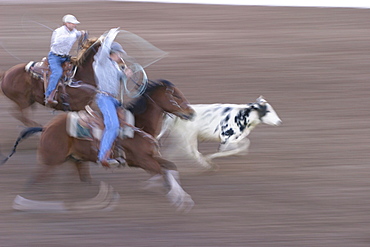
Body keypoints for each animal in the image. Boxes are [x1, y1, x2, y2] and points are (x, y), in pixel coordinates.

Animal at [2, 80, 197, 211]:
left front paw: (181, 196)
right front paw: (178, 198)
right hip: (51, 162)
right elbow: (163, 172)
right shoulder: (142, 160)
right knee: (34, 183)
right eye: (176, 95)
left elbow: (171, 167)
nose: (191, 113)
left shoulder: (152, 157)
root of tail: (45, 128)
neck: (139, 125)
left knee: (80, 183)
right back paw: (28, 204)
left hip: (75, 160)